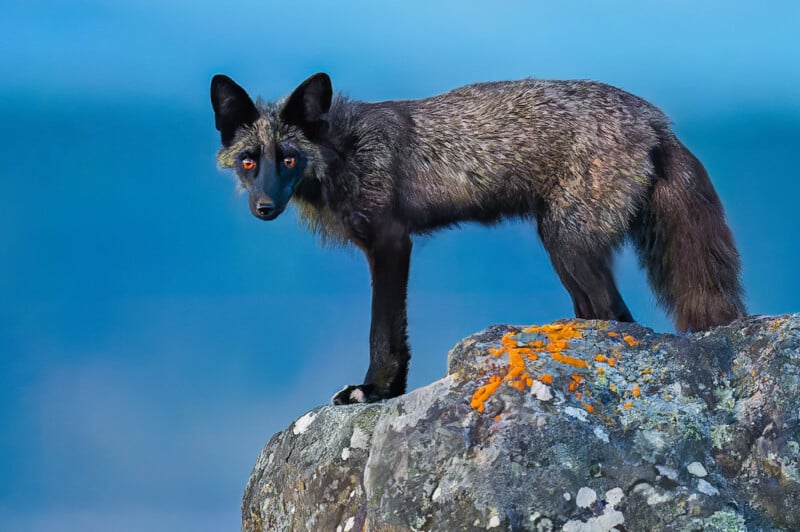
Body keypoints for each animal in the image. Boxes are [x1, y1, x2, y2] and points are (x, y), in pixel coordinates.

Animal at [208, 74, 744, 404]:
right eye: (250, 161)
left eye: (289, 159)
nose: (264, 207)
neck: (344, 148)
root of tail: (656, 120)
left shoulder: (391, 243)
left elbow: (384, 332)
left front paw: (376, 391)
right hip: (562, 251)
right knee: (601, 313)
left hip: (569, 244)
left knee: (620, 316)